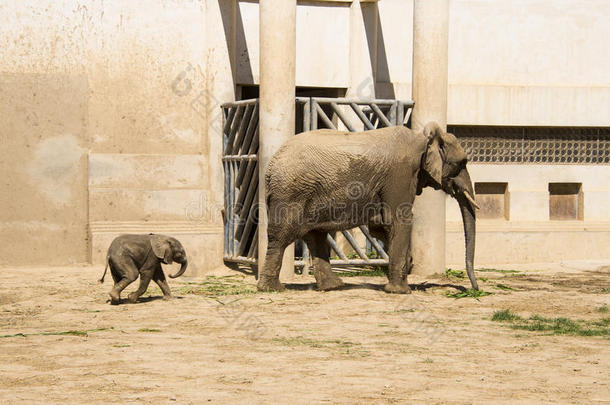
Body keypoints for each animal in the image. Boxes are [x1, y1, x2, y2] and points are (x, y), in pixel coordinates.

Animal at [254, 120, 478, 294]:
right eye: (462, 163)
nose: (475, 289)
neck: (422, 138)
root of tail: (270, 167)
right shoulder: (401, 174)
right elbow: (399, 220)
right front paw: (401, 291)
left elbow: (380, 227)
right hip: (292, 191)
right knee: (282, 236)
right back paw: (272, 289)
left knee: (315, 235)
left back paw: (333, 287)